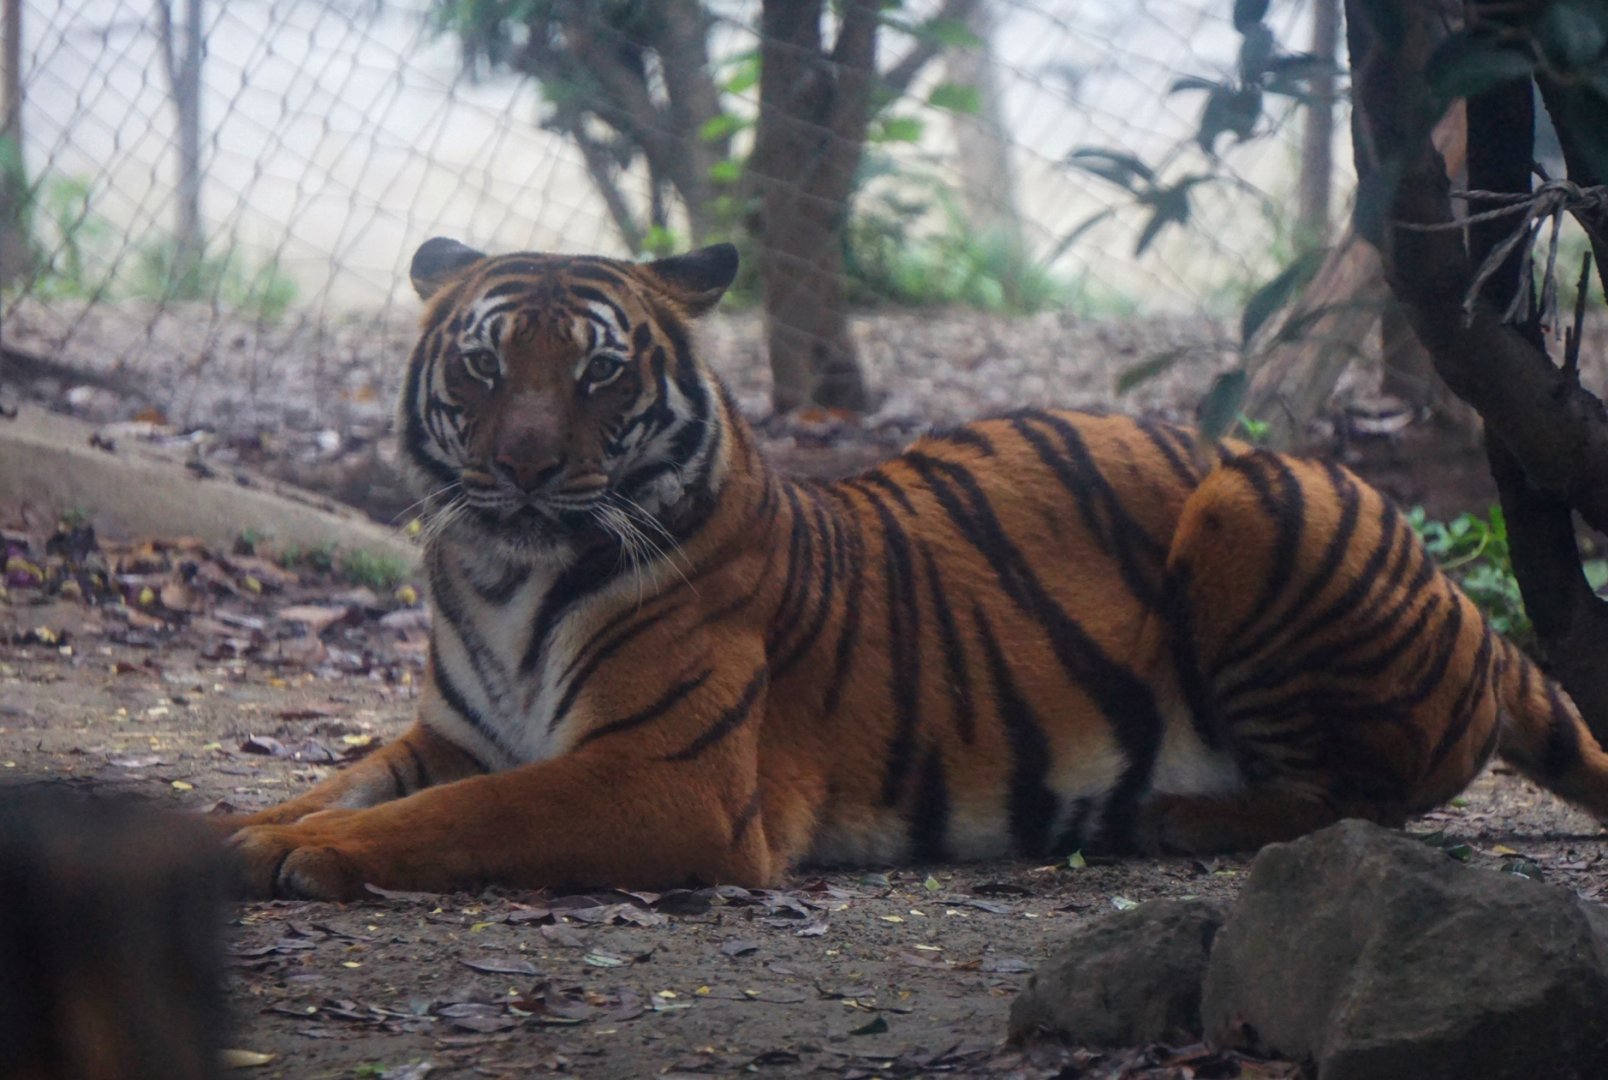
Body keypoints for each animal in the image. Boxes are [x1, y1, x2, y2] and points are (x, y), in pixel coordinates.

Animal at [220, 239, 1608, 900]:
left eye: (601, 373)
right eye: (485, 364)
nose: (521, 466)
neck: (506, 581)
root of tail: (1471, 619)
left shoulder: (663, 777)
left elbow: (459, 818)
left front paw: (312, 857)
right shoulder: (454, 735)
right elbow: (346, 780)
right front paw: (244, 830)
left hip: (1260, 498)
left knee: (1371, 799)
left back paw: (1174, 815)